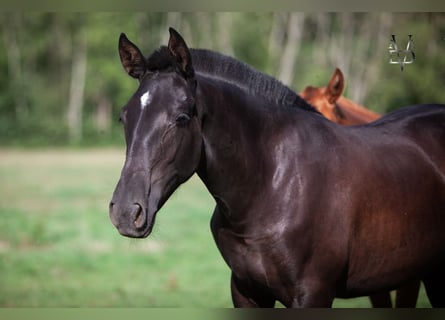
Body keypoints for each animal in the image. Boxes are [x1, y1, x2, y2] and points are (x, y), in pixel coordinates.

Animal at [109, 28, 444, 308]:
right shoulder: (246, 291)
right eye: (124, 116)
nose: (126, 212)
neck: (273, 185)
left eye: (180, 117)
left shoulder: (313, 295)